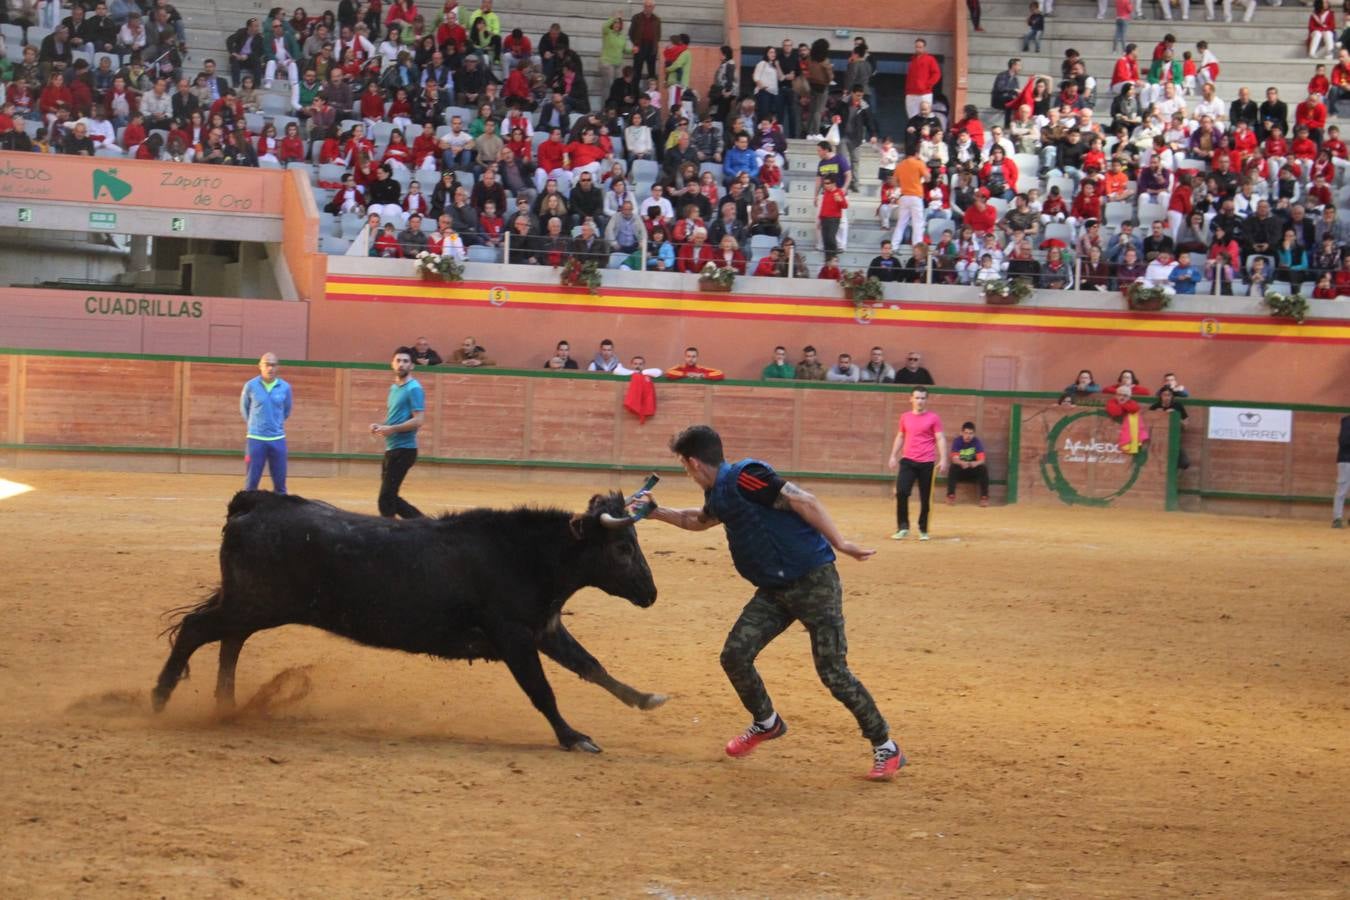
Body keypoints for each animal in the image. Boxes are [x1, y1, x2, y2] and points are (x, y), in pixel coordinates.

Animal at [155, 488, 661, 750]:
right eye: (622, 548)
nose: (651, 593)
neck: (526, 554)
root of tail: (255, 502)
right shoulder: (515, 637)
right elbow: (543, 691)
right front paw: (574, 737)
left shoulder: (545, 629)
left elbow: (591, 666)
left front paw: (646, 698)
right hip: (255, 603)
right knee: (197, 631)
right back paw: (160, 699)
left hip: (250, 604)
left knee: (229, 641)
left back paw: (226, 706)